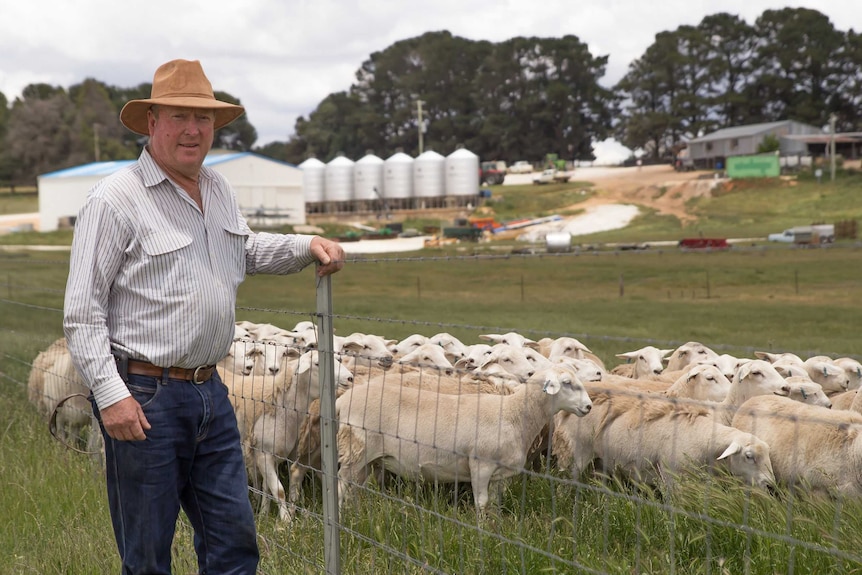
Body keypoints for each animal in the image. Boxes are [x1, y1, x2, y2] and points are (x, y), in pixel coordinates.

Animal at [336, 364, 592, 516]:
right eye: (567, 383)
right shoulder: (480, 464)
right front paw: (482, 532)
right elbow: (482, 502)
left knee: (354, 486)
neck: (514, 413)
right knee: (341, 484)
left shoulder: (499, 473)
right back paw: (343, 517)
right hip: (355, 449)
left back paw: (355, 512)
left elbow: (495, 502)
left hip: (368, 459)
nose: (589, 407)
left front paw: (495, 526)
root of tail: (343, 400)